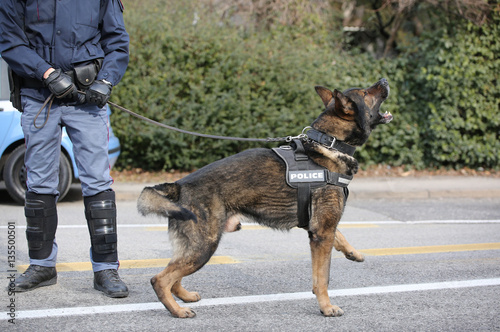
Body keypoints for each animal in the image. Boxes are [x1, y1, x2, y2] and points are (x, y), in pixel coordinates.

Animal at [137, 78, 390, 320]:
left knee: (173, 276)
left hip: (194, 248)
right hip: (203, 247)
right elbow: (322, 278)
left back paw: (185, 297)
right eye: (366, 93)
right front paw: (326, 307)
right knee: (160, 279)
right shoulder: (321, 234)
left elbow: (341, 235)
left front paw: (352, 252)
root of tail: (179, 185)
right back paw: (177, 311)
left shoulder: (320, 227)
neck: (330, 142)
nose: (384, 80)